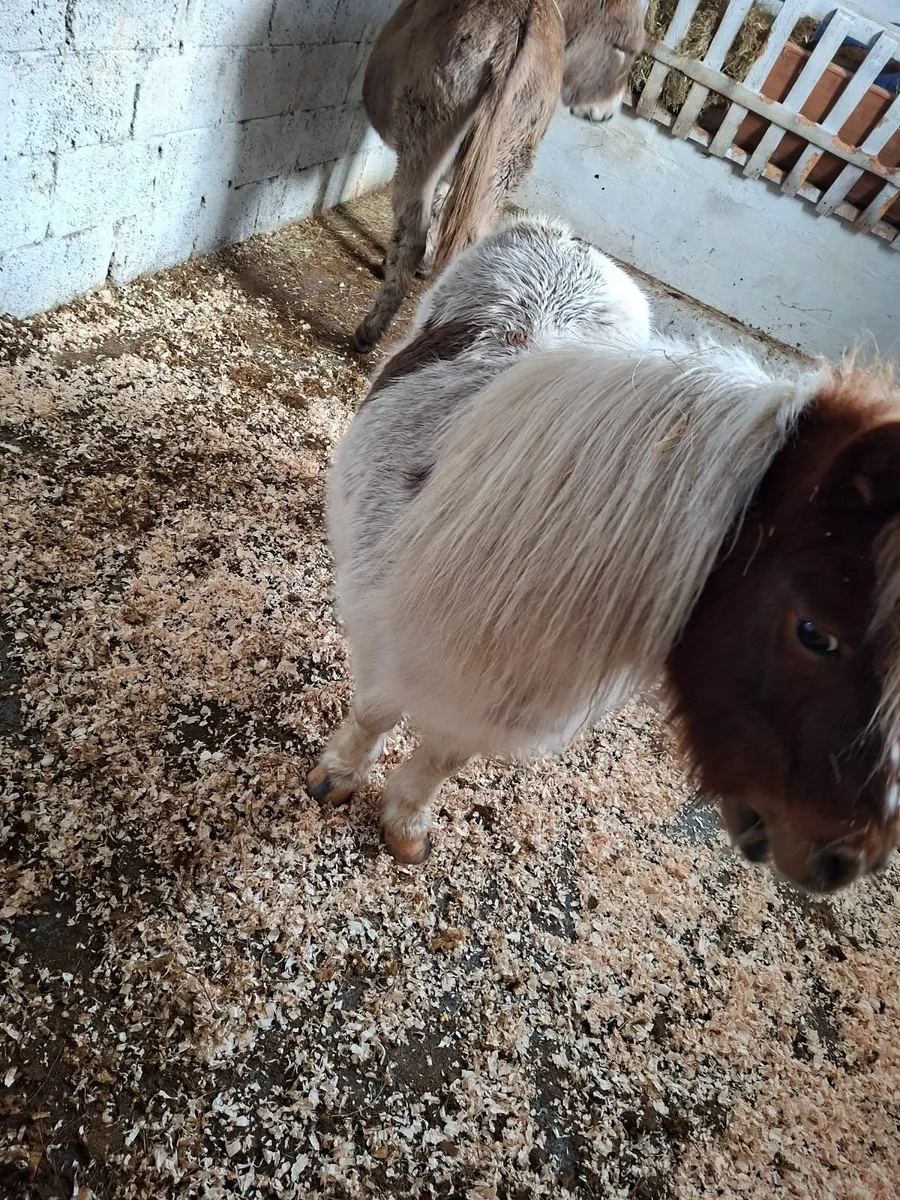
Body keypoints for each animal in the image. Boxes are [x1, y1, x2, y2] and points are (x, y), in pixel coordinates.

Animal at [309, 214, 900, 894]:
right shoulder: (388, 636)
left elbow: (443, 756)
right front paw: (337, 777)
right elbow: (377, 712)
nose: (848, 858)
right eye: (814, 633)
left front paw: (405, 823)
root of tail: (560, 234)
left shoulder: (499, 703)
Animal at [351, 0, 645, 354]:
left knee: (412, 229)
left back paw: (369, 331)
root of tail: (519, 20)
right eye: (623, 49)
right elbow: (443, 206)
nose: (606, 114)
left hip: (427, 133)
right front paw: (428, 264)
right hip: (507, 151)